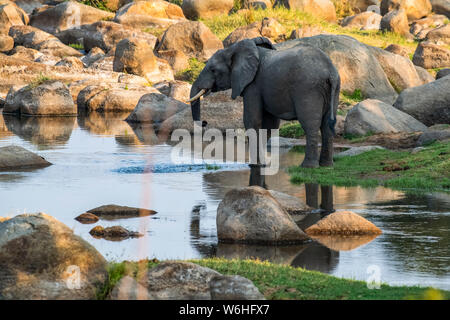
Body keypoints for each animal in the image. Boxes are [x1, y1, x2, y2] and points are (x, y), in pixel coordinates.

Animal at [187, 37, 342, 168]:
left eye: (213, 70)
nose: (205, 122)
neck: (234, 49)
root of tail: (330, 71)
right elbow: (269, 124)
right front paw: (262, 164)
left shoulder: (253, 85)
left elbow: (252, 120)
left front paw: (254, 165)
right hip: (333, 90)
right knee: (326, 126)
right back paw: (327, 166)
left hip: (308, 89)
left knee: (310, 125)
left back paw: (307, 167)